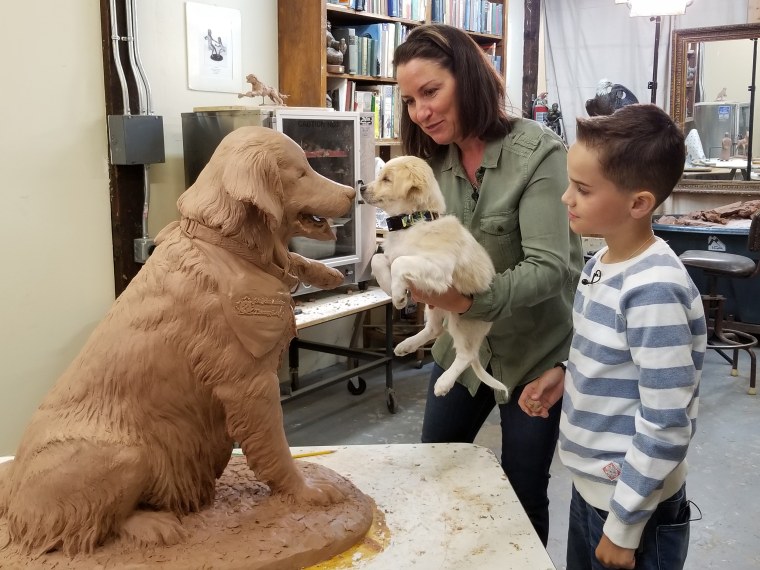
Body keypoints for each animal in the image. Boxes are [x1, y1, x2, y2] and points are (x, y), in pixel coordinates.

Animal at [364, 153, 510, 398]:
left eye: (386, 179)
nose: (361, 187)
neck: (412, 222)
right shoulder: (392, 256)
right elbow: (379, 261)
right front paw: (394, 291)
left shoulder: (439, 268)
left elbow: (400, 263)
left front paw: (398, 294)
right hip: (433, 306)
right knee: (435, 328)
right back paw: (407, 345)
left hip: (460, 319)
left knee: (466, 355)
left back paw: (444, 382)